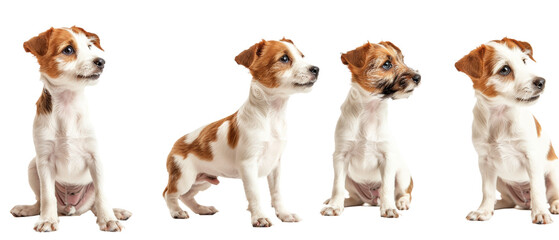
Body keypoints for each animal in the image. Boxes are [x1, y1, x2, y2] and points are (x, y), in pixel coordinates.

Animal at [10, 27, 131, 232]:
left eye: (89, 46)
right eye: (68, 50)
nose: (101, 62)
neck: (67, 105)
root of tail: (71, 208)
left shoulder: (95, 157)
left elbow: (102, 195)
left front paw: (109, 219)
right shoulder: (44, 160)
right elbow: (47, 196)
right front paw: (47, 220)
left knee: (95, 204)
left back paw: (116, 212)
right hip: (33, 166)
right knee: (40, 200)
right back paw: (28, 209)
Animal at [162, 37, 320, 227]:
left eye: (302, 56)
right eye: (284, 58)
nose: (316, 69)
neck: (272, 115)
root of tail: (175, 144)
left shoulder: (275, 165)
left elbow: (277, 193)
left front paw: (284, 214)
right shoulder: (248, 164)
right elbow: (254, 194)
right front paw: (259, 217)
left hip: (203, 180)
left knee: (186, 196)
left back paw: (202, 209)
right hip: (184, 177)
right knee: (169, 194)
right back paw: (177, 212)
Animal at [320, 40, 420, 218]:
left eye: (402, 59)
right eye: (387, 64)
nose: (418, 77)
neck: (369, 111)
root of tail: (373, 199)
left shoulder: (387, 158)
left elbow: (387, 187)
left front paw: (389, 208)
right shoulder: (340, 157)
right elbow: (337, 186)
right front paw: (334, 206)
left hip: (402, 174)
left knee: (405, 193)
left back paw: (401, 202)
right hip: (349, 179)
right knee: (356, 199)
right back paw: (340, 202)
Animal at [458, 37, 556, 223]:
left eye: (524, 61)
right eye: (505, 70)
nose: (542, 82)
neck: (501, 116)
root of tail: (525, 202)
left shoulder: (531, 157)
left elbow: (537, 188)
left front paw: (540, 213)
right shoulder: (485, 162)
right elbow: (487, 190)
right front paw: (483, 211)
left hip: (553, 174)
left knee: (553, 195)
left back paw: (553, 206)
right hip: (500, 180)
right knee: (509, 201)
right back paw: (493, 206)